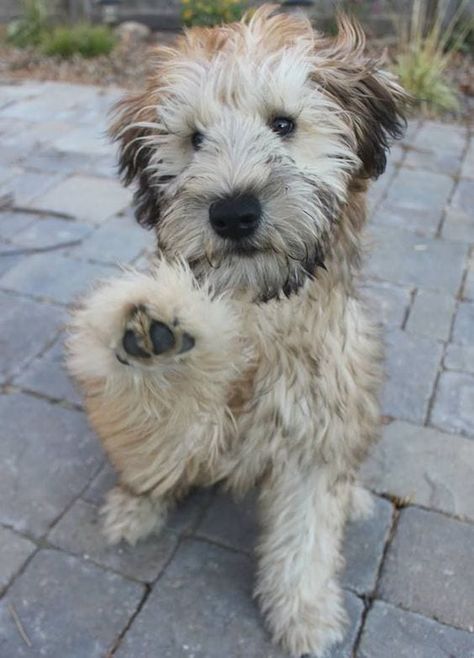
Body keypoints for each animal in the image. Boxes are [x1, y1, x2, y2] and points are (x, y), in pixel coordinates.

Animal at [66, 6, 408, 656]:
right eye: (195, 138)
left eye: (284, 124)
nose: (233, 212)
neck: (258, 310)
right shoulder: (190, 427)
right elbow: (163, 423)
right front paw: (159, 340)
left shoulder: (314, 427)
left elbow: (306, 533)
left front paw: (303, 612)